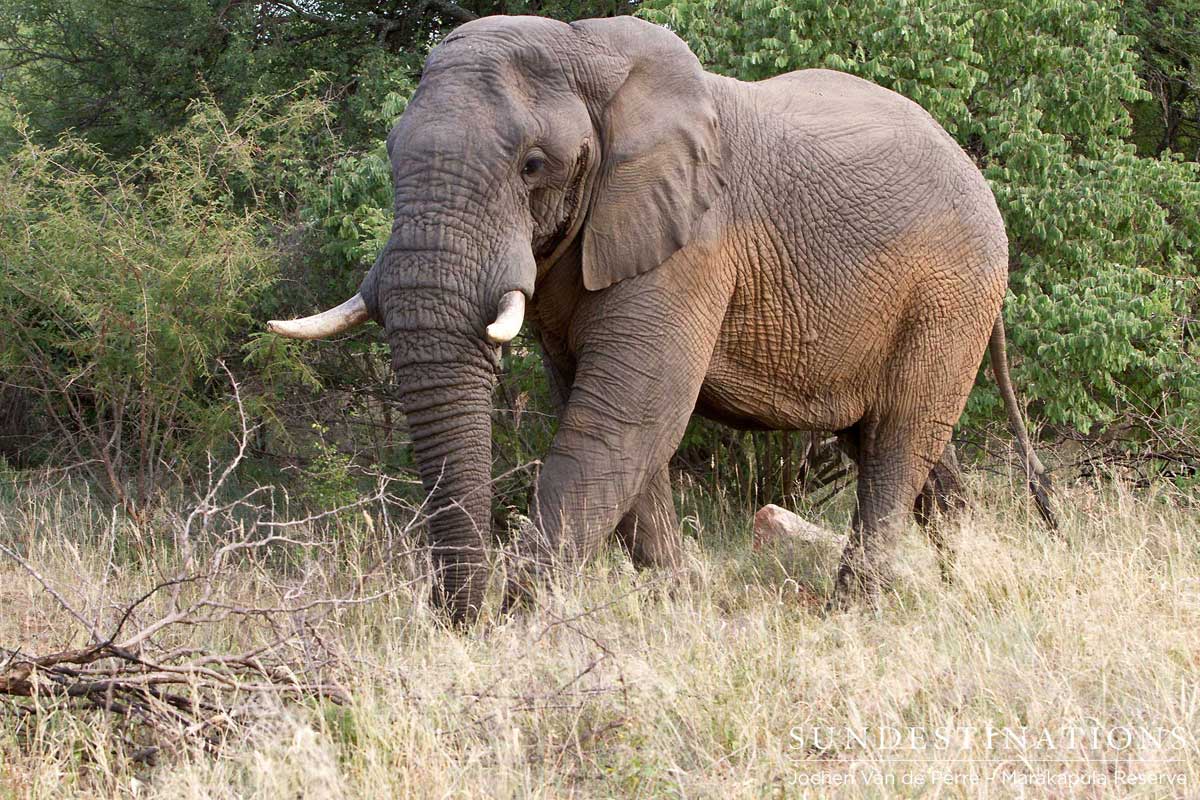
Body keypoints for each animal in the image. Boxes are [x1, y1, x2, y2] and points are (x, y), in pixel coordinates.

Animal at [268, 14, 1054, 622]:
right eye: (391, 157)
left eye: (533, 165)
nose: (458, 623)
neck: (586, 53)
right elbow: (609, 419)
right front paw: (678, 607)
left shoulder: (693, 244)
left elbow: (626, 415)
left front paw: (521, 625)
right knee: (901, 442)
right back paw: (957, 584)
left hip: (951, 291)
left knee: (899, 440)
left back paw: (852, 615)